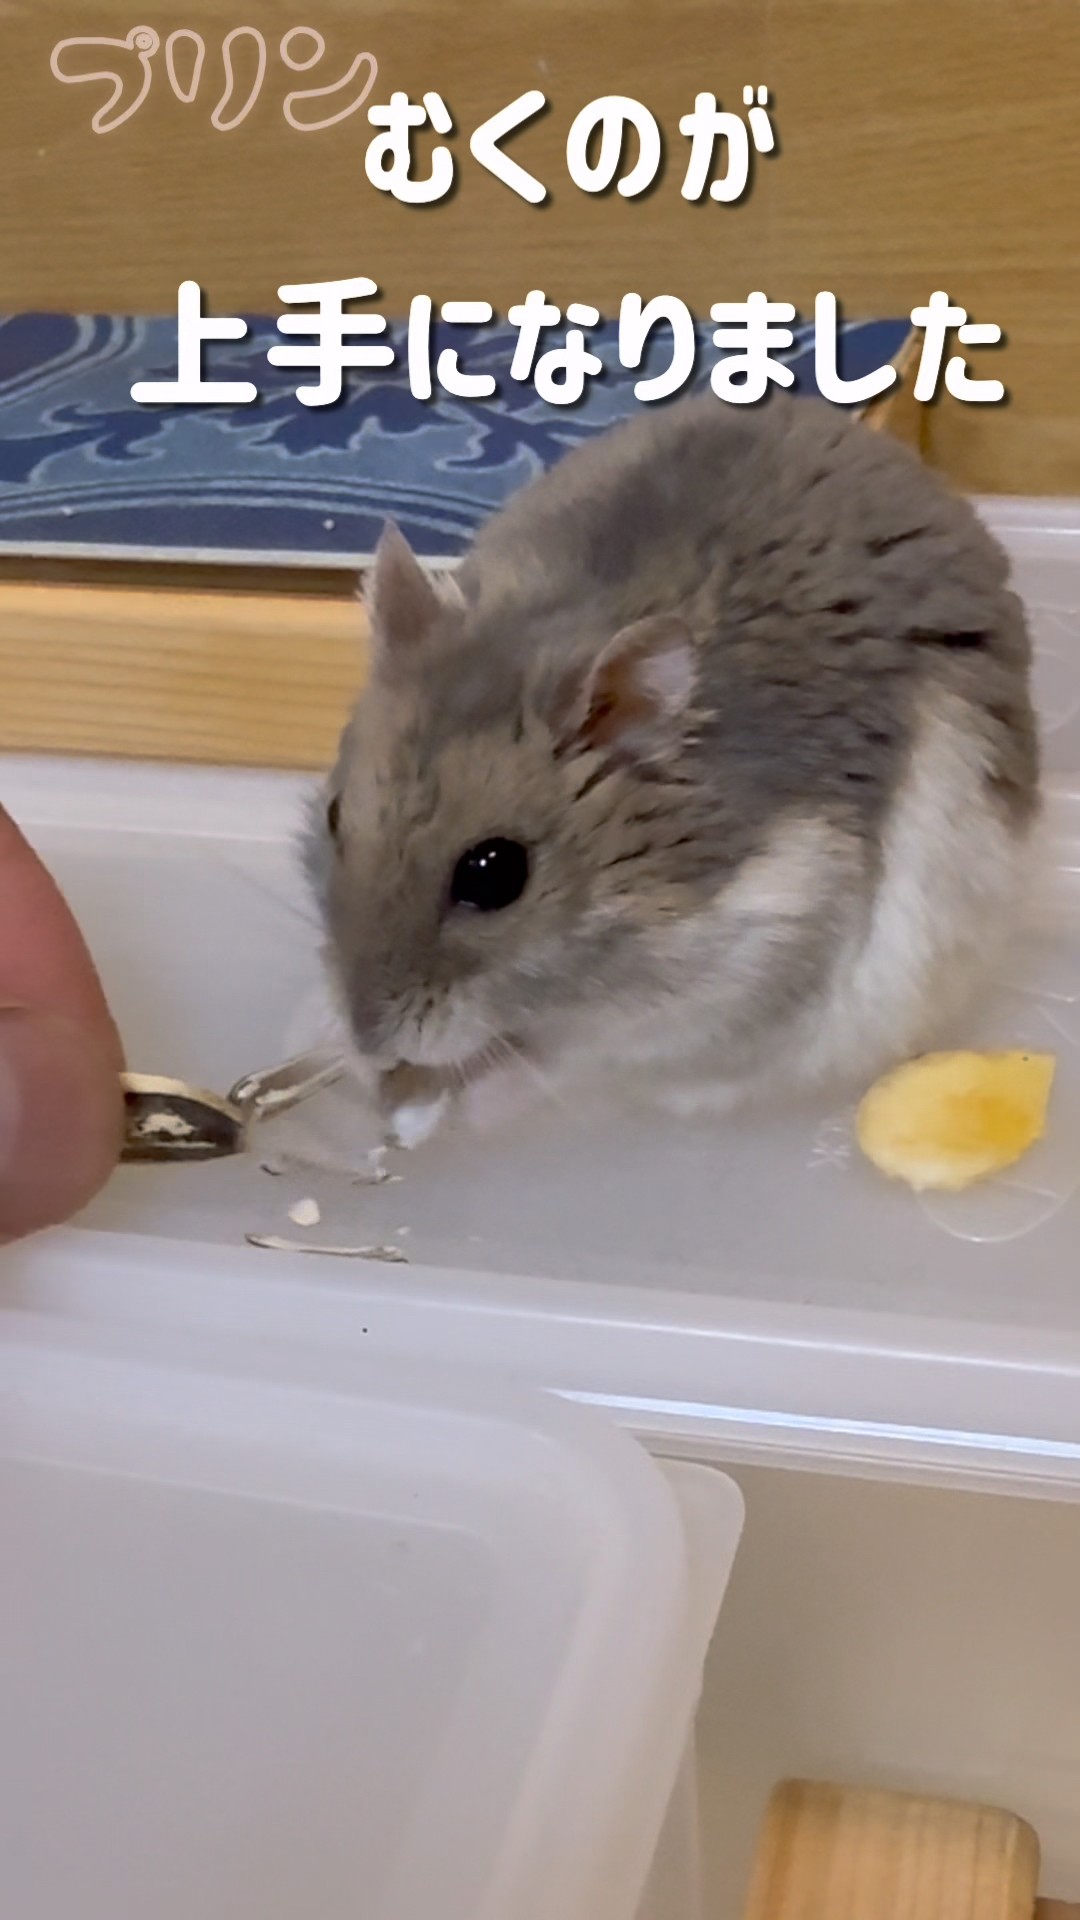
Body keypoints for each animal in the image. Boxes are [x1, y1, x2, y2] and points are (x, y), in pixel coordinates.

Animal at [306, 391, 1039, 1138]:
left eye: (494, 873)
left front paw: (447, 1110)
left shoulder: (726, 996)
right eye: (335, 815)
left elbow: (577, 1067)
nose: (371, 1039)